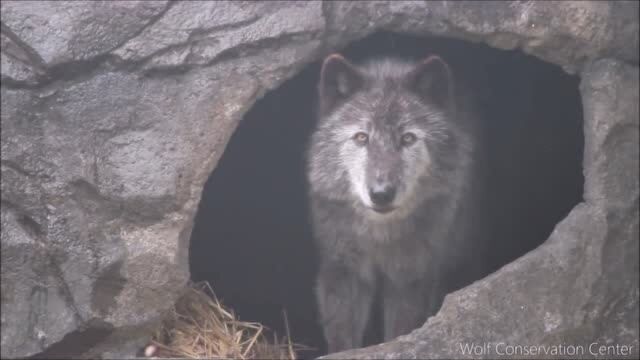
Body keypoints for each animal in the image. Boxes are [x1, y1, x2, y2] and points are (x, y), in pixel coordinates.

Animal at [308, 52, 488, 352]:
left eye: (408, 138)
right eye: (362, 137)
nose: (381, 193)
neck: (381, 236)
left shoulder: (411, 276)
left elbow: (401, 332)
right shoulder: (343, 269)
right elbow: (342, 335)